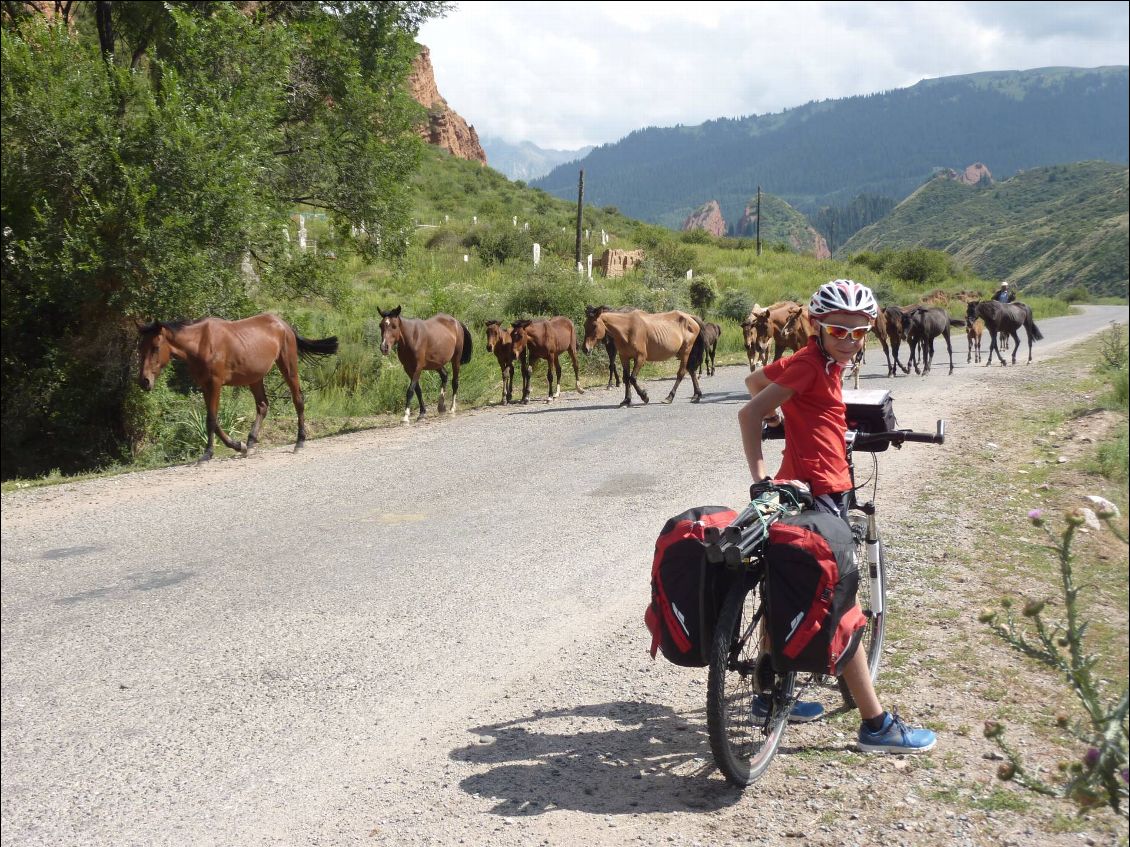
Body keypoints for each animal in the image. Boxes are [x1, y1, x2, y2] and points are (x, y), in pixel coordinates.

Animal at [135, 313, 334, 465]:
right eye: (140, 347)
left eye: (155, 347)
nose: (144, 381)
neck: (201, 343)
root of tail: (284, 325)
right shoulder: (205, 386)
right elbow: (214, 421)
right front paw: (239, 446)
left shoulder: (215, 384)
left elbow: (211, 420)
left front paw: (208, 454)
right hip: (255, 378)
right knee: (263, 405)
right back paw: (250, 443)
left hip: (288, 367)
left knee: (298, 399)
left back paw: (299, 442)